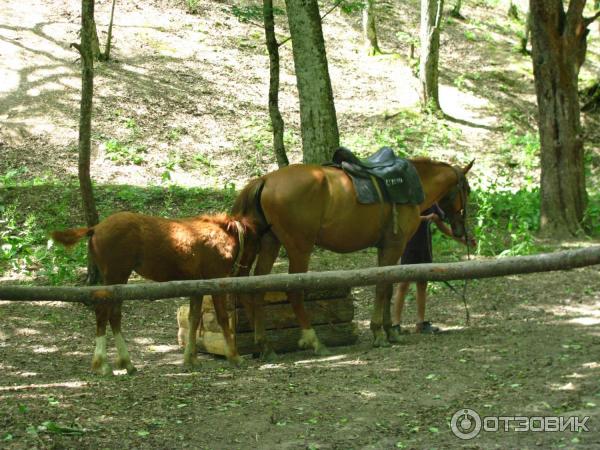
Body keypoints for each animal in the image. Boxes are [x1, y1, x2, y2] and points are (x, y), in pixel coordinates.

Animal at [51, 213, 258, 374]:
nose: (246, 272)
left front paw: (191, 359)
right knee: (104, 313)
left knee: (114, 316)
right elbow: (222, 318)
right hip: (115, 278)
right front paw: (235, 357)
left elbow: (193, 319)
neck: (219, 236)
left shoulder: (197, 288)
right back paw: (103, 364)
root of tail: (96, 228)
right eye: (254, 246)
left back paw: (126, 363)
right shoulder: (215, 283)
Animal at [234, 158, 474, 358]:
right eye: (468, 190)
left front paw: (390, 331)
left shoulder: (386, 248)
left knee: (258, 288)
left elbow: (387, 287)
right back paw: (314, 341)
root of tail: (266, 179)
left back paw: (265, 346)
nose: (461, 230)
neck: (410, 186)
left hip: (270, 243)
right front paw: (379, 333)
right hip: (299, 248)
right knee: (293, 291)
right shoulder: (394, 246)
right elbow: (382, 287)